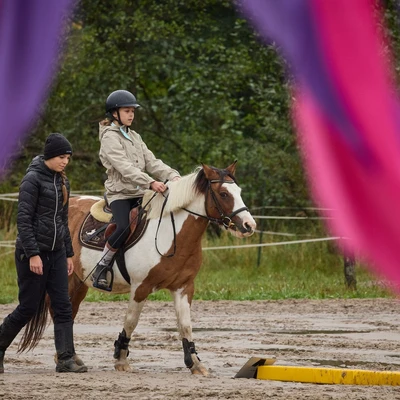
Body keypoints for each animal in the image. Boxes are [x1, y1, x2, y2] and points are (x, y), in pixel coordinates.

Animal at [69, 161, 255, 374]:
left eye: (238, 191)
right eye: (224, 194)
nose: (249, 225)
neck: (170, 235)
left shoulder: (183, 287)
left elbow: (185, 325)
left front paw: (195, 363)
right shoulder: (140, 288)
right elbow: (131, 321)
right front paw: (121, 360)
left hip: (78, 283)